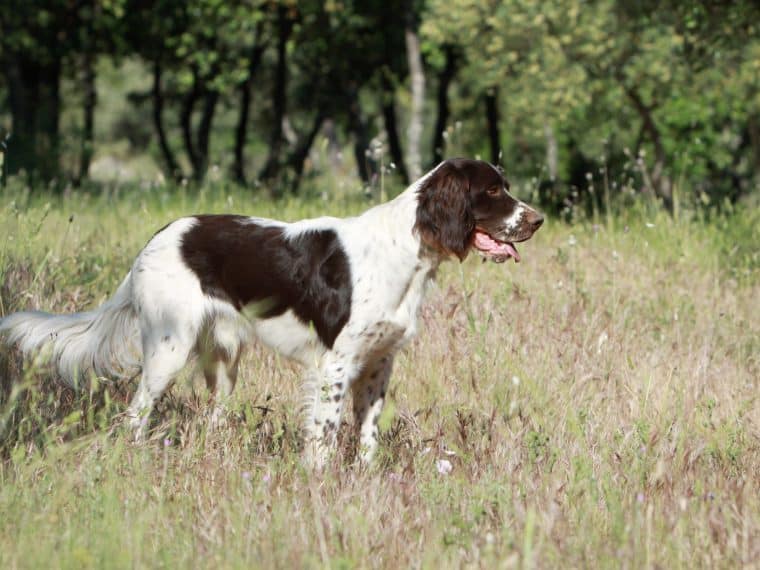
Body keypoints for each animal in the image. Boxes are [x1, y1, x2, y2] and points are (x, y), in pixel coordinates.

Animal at [1, 158, 548, 464]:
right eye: (492, 190)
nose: (538, 219)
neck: (405, 249)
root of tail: (156, 239)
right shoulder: (335, 365)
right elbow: (323, 436)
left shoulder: (378, 364)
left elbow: (367, 436)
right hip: (167, 348)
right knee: (134, 416)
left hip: (223, 360)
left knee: (213, 417)